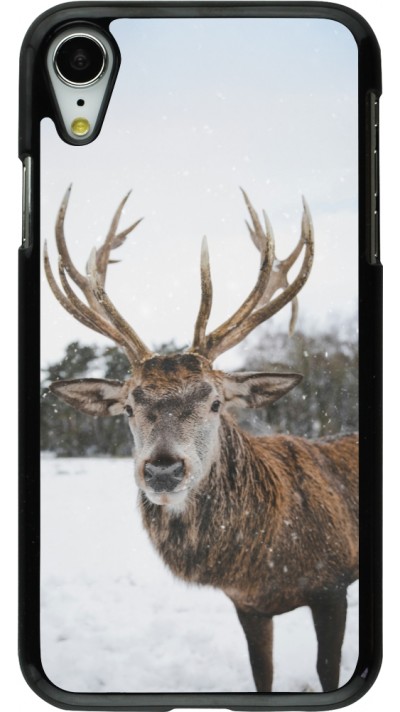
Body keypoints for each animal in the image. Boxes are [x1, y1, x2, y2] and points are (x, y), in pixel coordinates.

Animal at [44, 186, 358, 693]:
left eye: (215, 402)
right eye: (128, 407)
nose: (163, 469)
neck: (266, 562)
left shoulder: (332, 584)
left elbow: (328, 671)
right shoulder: (247, 605)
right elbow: (262, 674)